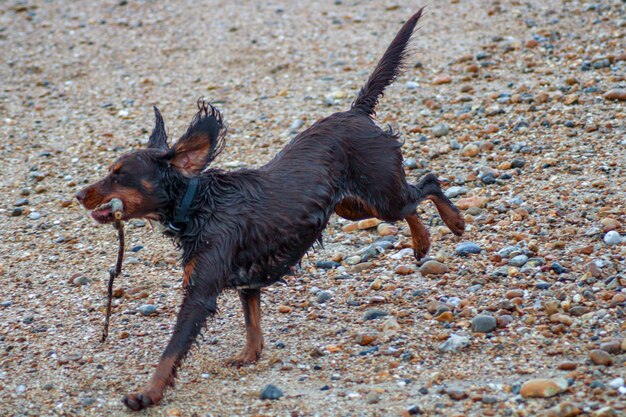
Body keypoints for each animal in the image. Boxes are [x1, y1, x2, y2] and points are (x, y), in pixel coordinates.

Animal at [75, 8, 460, 410]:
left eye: (119, 175)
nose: (79, 195)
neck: (199, 205)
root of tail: (356, 113)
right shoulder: (248, 279)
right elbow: (252, 323)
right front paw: (250, 355)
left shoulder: (200, 292)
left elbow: (172, 349)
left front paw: (147, 393)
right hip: (354, 205)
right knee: (411, 204)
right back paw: (422, 243)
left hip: (379, 193)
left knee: (429, 183)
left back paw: (455, 223)